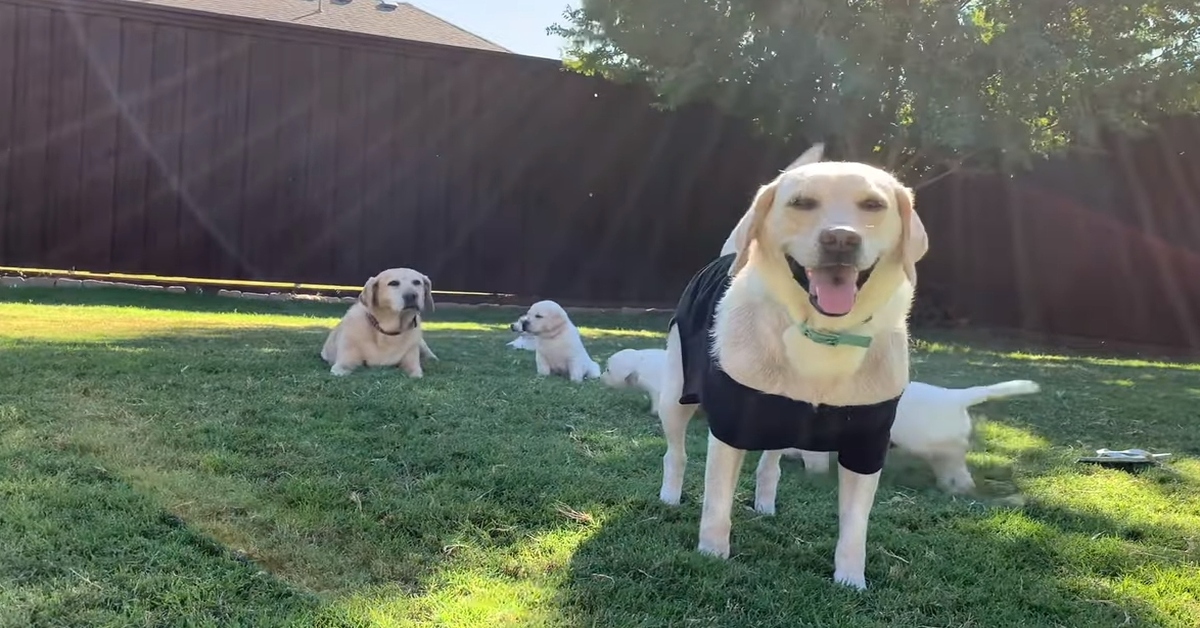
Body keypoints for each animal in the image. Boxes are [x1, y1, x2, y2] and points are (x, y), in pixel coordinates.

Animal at [657, 145, 926, 593]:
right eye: (801, 203)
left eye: (873, 205)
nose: (840, 238)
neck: (823, 336)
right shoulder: (731, 426)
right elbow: (716, 503)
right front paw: (712, 552)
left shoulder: (868, 442)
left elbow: (855, 526)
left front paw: (851, 579)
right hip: (675, 397)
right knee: (675, 453)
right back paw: (669, 496)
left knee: (771, 464)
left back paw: (765, 503)